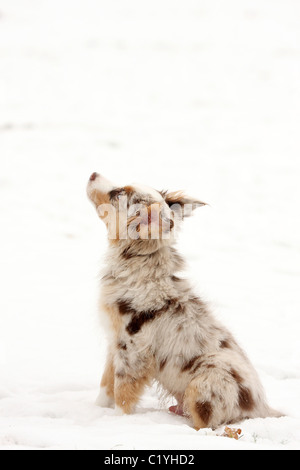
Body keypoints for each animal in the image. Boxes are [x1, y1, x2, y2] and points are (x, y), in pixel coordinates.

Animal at [86, 172, 282, 430]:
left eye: (118, 194)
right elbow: (106, 386)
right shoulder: (115, 344)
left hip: (203, 383)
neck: (140, 265)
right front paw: (95, 412)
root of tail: (262, 410)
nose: (93, 174)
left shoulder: (133, 351)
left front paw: (117, 423)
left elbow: (123, 394)